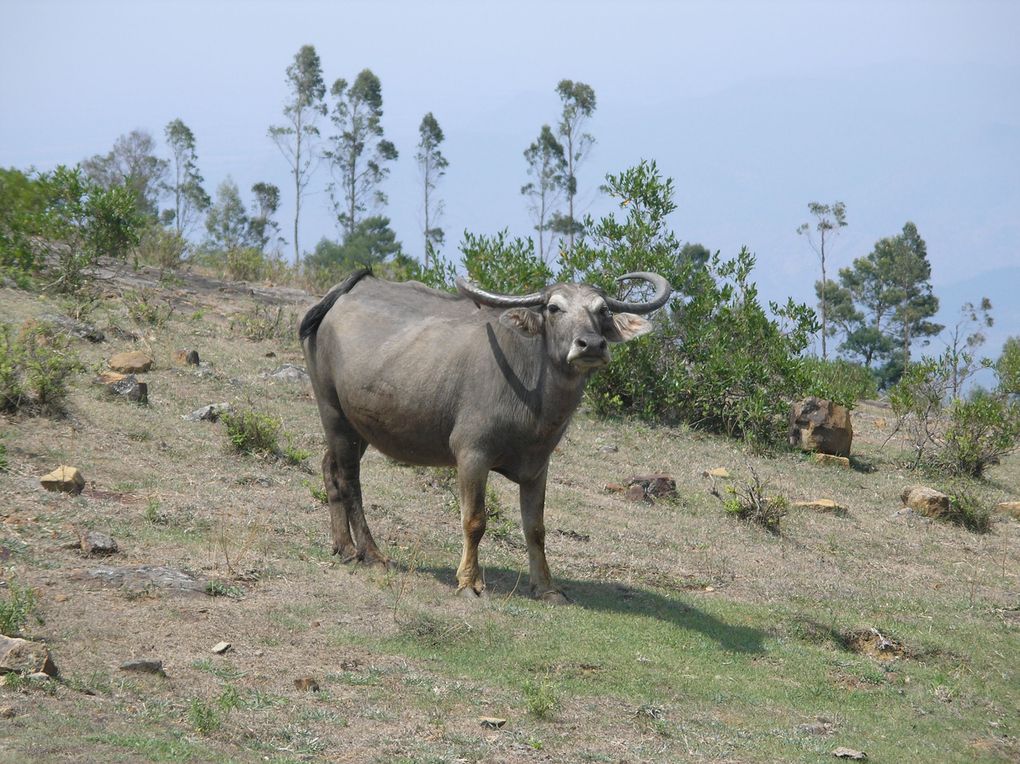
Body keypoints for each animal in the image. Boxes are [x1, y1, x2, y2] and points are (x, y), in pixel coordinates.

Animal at [297, 267, 673, 603]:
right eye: (554, 308)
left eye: (602, 310)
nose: (591, 345)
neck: (533, 395)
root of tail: (342, 295)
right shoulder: (472, 455)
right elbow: (475, 520)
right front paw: (469, 582)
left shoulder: (538, 466)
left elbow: (536, 528)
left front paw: (546, 588)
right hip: (333, 413)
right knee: (350, 481)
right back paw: (371, 554)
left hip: (357, 426)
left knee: (330, 469)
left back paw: (344, 547)